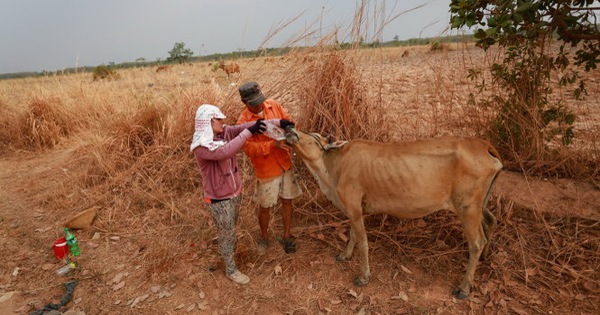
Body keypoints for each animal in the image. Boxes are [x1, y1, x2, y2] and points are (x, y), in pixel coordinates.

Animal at [284, 127, 504, 300]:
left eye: (314, 135)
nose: (289, 128)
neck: (333, 169)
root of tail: (483, 144)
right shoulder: (357, 209)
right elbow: (353, 235)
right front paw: (344, 255)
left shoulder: (354, 207)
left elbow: (362, 242)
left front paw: (364, 276)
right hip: (478, 204)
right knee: (490, 221)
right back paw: (484, 258)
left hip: (467, 206)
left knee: (477, 242)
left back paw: (464, 288)